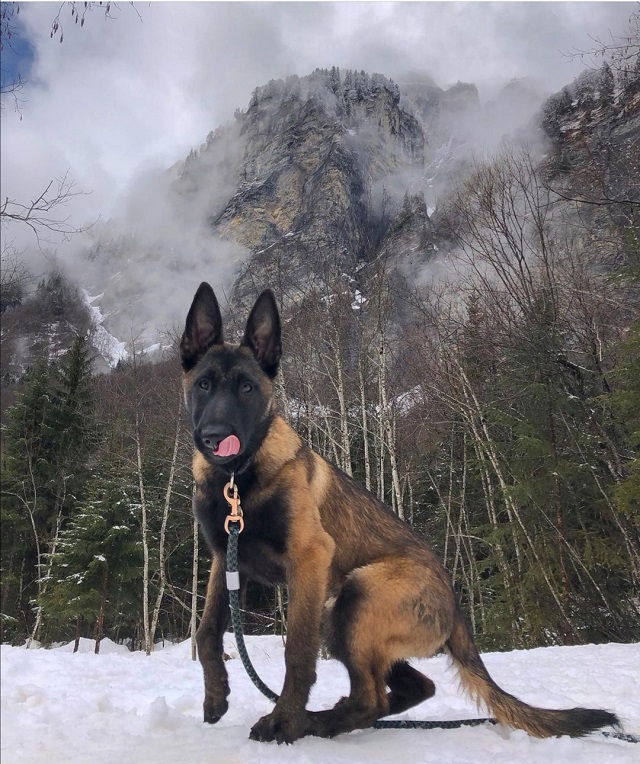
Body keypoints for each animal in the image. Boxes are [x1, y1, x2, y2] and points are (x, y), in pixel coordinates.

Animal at [181, 284, 620, 744]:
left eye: (247, 388)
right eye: (204, 385)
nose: (214, 437)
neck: (237, 479)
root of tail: (454, 605)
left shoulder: (309, 559)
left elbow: (297, 652)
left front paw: (283, 721)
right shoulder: (226, 560)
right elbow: (207, 631)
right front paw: (216, 697)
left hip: (354, 600)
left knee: (371, 697)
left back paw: (313, 722)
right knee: (410, 688)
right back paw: (329, 718)